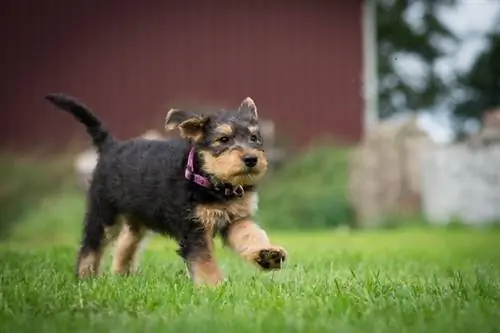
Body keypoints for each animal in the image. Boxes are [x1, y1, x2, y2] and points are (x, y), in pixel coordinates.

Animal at [47, 92, 290, 286]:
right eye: (223, 139)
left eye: (254, 138)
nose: (251, 159)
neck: (209, 182)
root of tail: (111, 146)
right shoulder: (193, 227)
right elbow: (204, 260)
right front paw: (214, 288)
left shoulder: (235, 219)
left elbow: (250, 234)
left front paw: (267, 255)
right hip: (104, 213)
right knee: (90, 247)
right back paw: (85, 279)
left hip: (137, 217)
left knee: (126, 243)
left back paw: (122, 275)